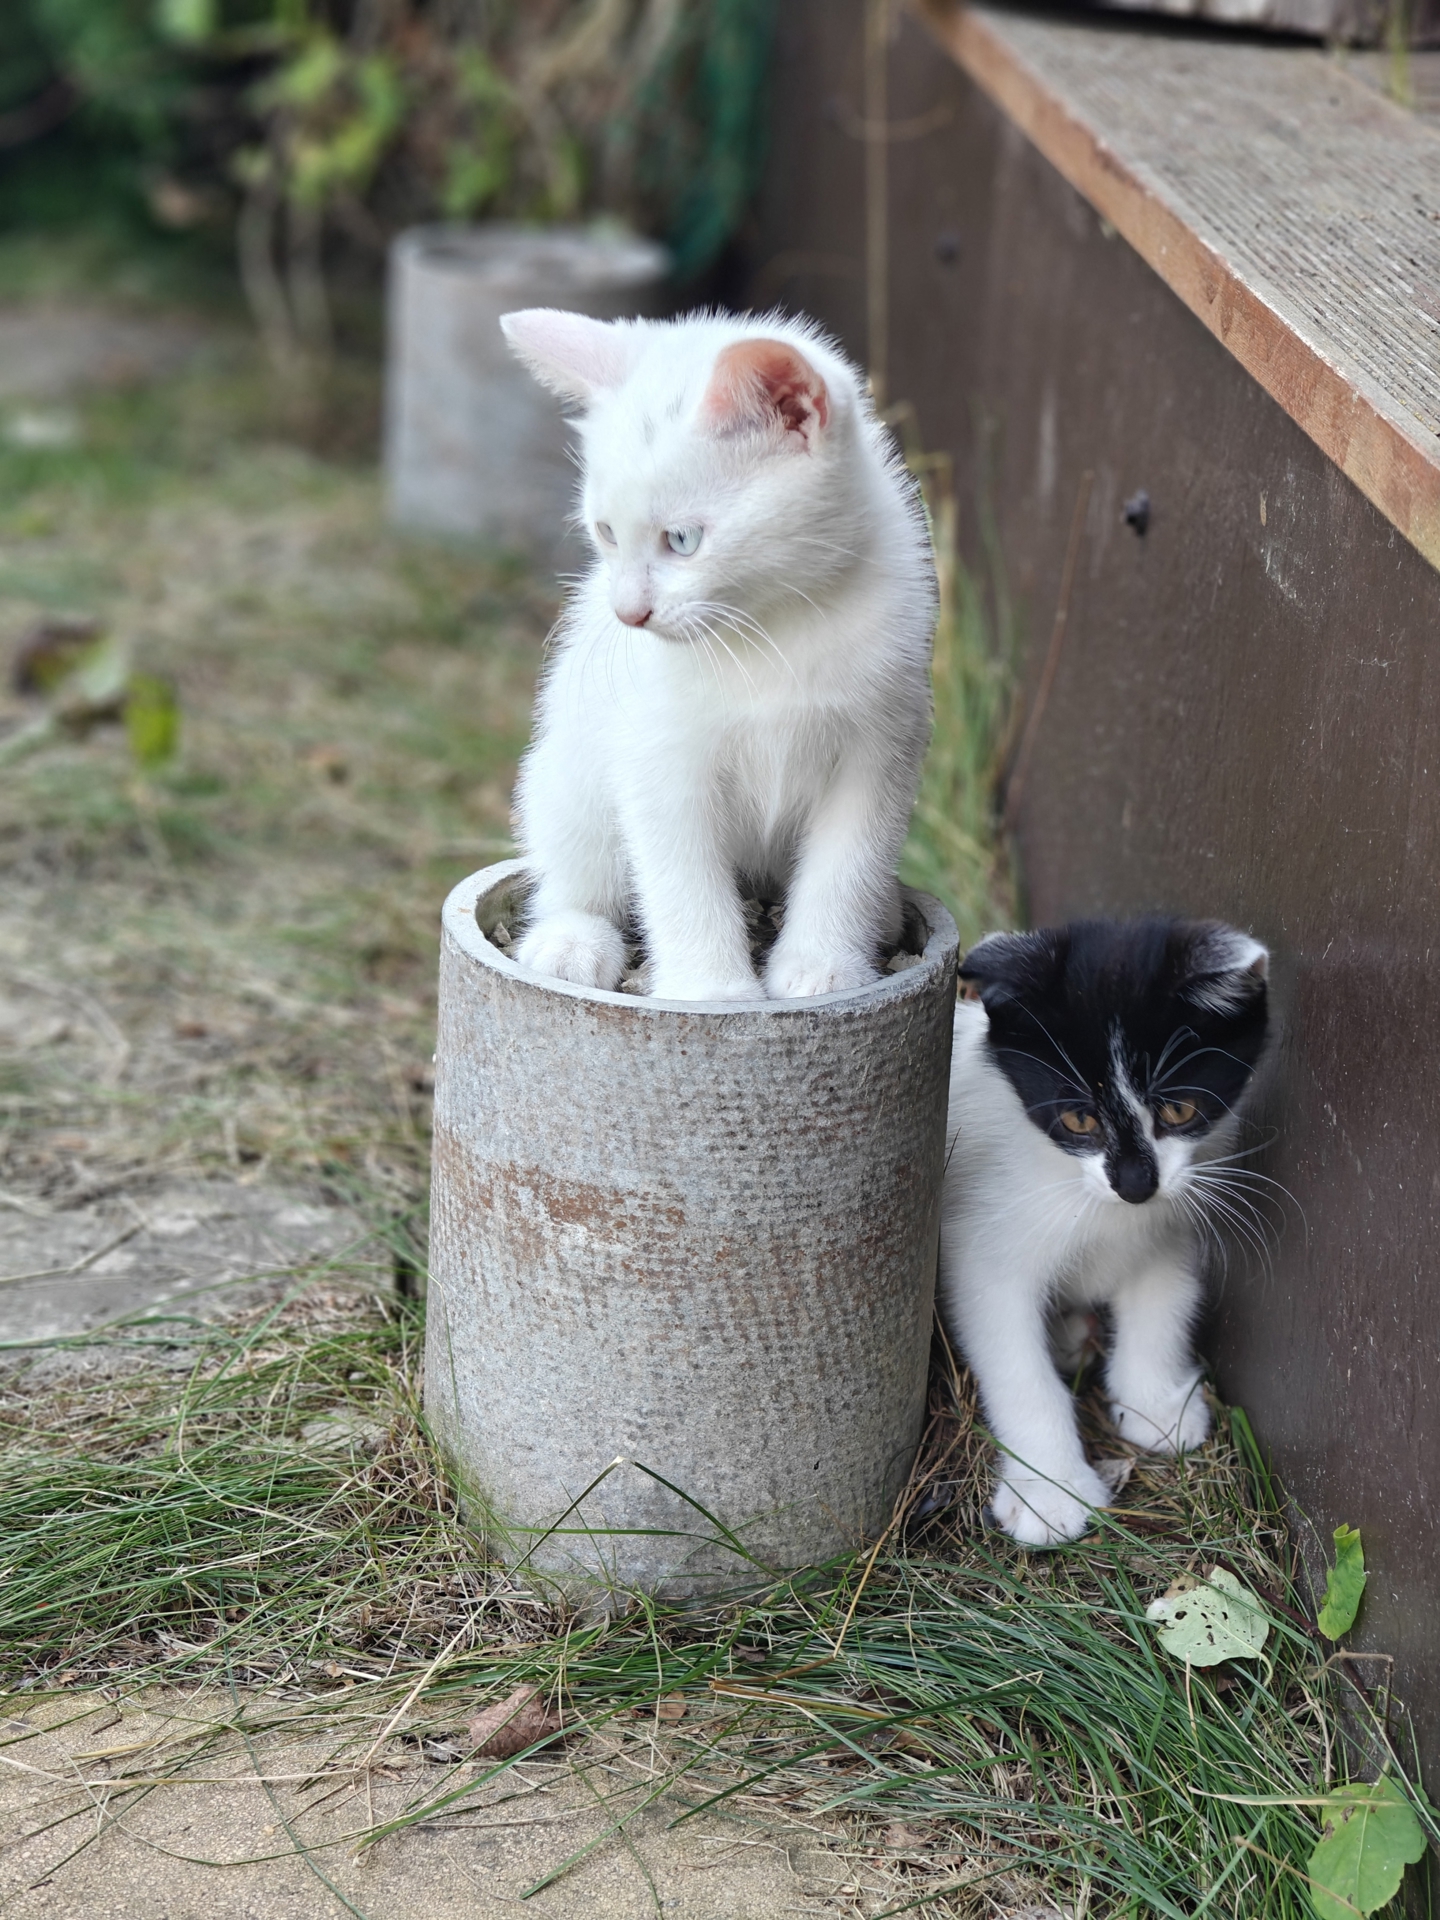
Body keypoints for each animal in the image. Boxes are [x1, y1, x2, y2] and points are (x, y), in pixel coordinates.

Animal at [503, 307, 936, 998]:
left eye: (682, 540)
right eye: (606, 532)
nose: (628, 614)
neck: (773, 624)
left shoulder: (883, 744)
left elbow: (849, 861)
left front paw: (824, 966)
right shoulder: (659, 755)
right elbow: (682, 881)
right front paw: (709, 989)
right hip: (567, 776)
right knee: (571, 868)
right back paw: (571, 938)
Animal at [948, 913, 1274, 1543]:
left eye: (1179, 1110)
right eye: (1079, 1119)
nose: (1135, 1185)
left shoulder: (1175, 1214)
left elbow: (1165, 1298)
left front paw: (1156, 1401)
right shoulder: (983, 1251)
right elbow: (1016, 1364)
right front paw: (1050, 1490)